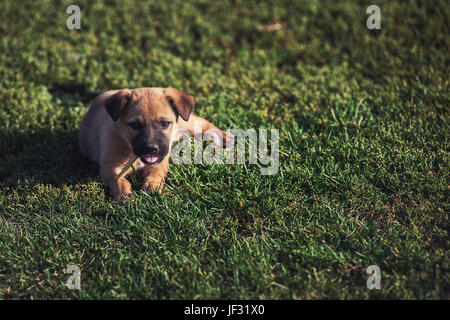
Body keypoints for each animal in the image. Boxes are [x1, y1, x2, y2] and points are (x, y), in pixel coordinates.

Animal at [78, 87, 230, 202]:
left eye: (165, 123)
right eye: (135, 125)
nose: (151, 149)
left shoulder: (160, 160)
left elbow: (157, 172)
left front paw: (152, 186)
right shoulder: (109, 165)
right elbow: (118, 180)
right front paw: (124, 193)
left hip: (185, 122)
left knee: (202, 123)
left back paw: (223, 136)